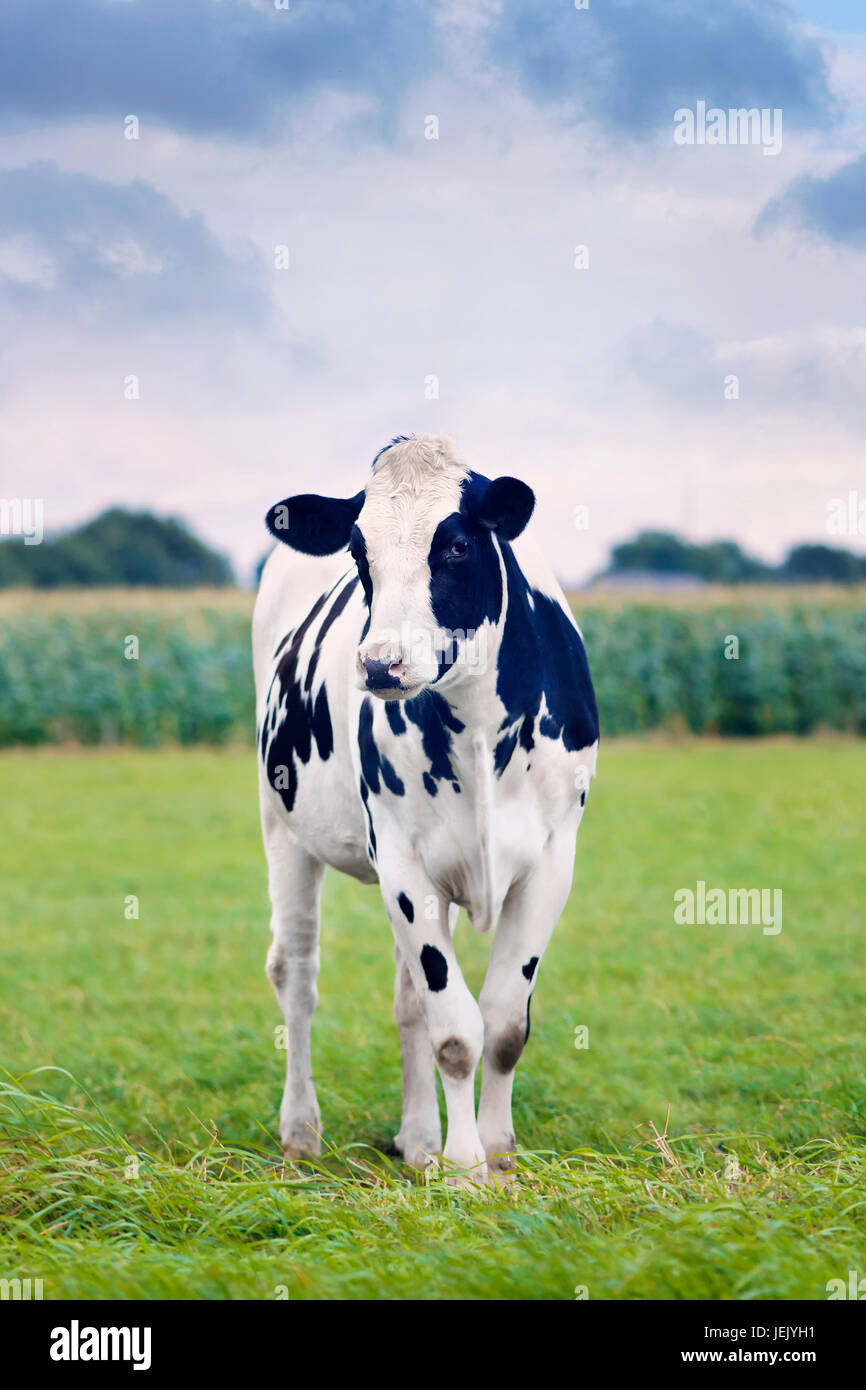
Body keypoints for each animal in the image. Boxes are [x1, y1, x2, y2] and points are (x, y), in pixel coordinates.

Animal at [254, 433, 600, 1184]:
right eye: (358, 551)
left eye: (458, 546)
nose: (381, 665)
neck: (478, 733)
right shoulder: (404, 861)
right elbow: (456, 1031)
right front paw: (466, 1166)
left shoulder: (553, 859)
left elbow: (503, 1024)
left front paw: (496, 1155)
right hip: (283, 827)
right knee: (296, 974)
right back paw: (301, 1132)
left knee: (406, 997)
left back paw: (416, 1140)